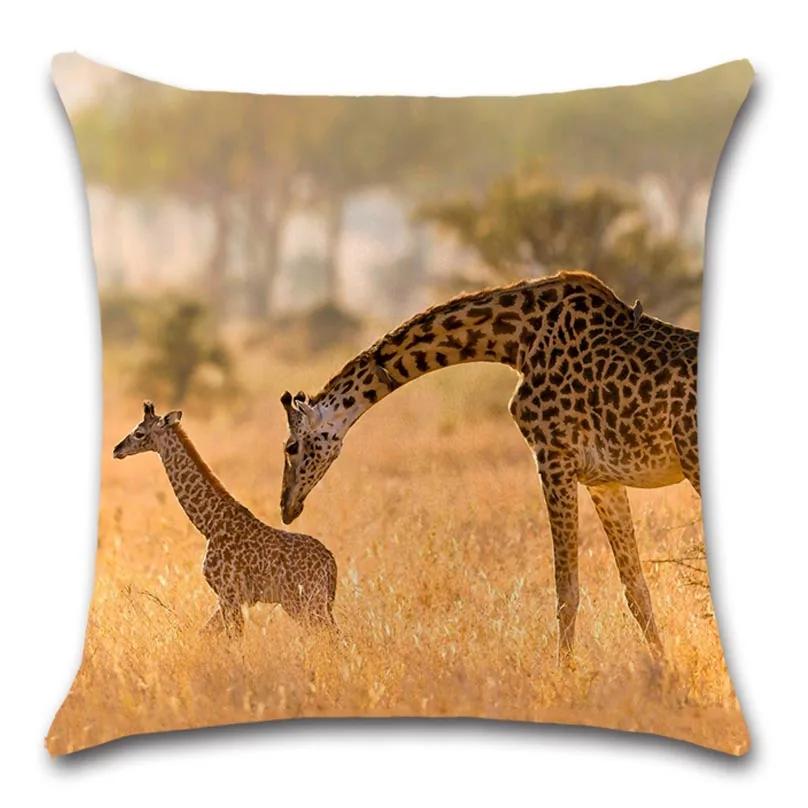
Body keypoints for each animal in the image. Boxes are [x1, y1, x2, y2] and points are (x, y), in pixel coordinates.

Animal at [114, 402, 337, 635]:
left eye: (139, 433)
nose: (117, 450)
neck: (209, 524)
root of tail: (331, 562)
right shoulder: (228, 598)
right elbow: (204, 633)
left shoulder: (230, 593)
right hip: (304, 601)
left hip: (308, 600)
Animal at [279, 271, 701, 661]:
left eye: (291, 446)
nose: (286, 506)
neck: (515, 340)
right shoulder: (602, 479)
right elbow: (636, 588)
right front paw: (664, 671)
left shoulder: (554, 458)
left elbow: (566, 590)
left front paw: (565, 674)